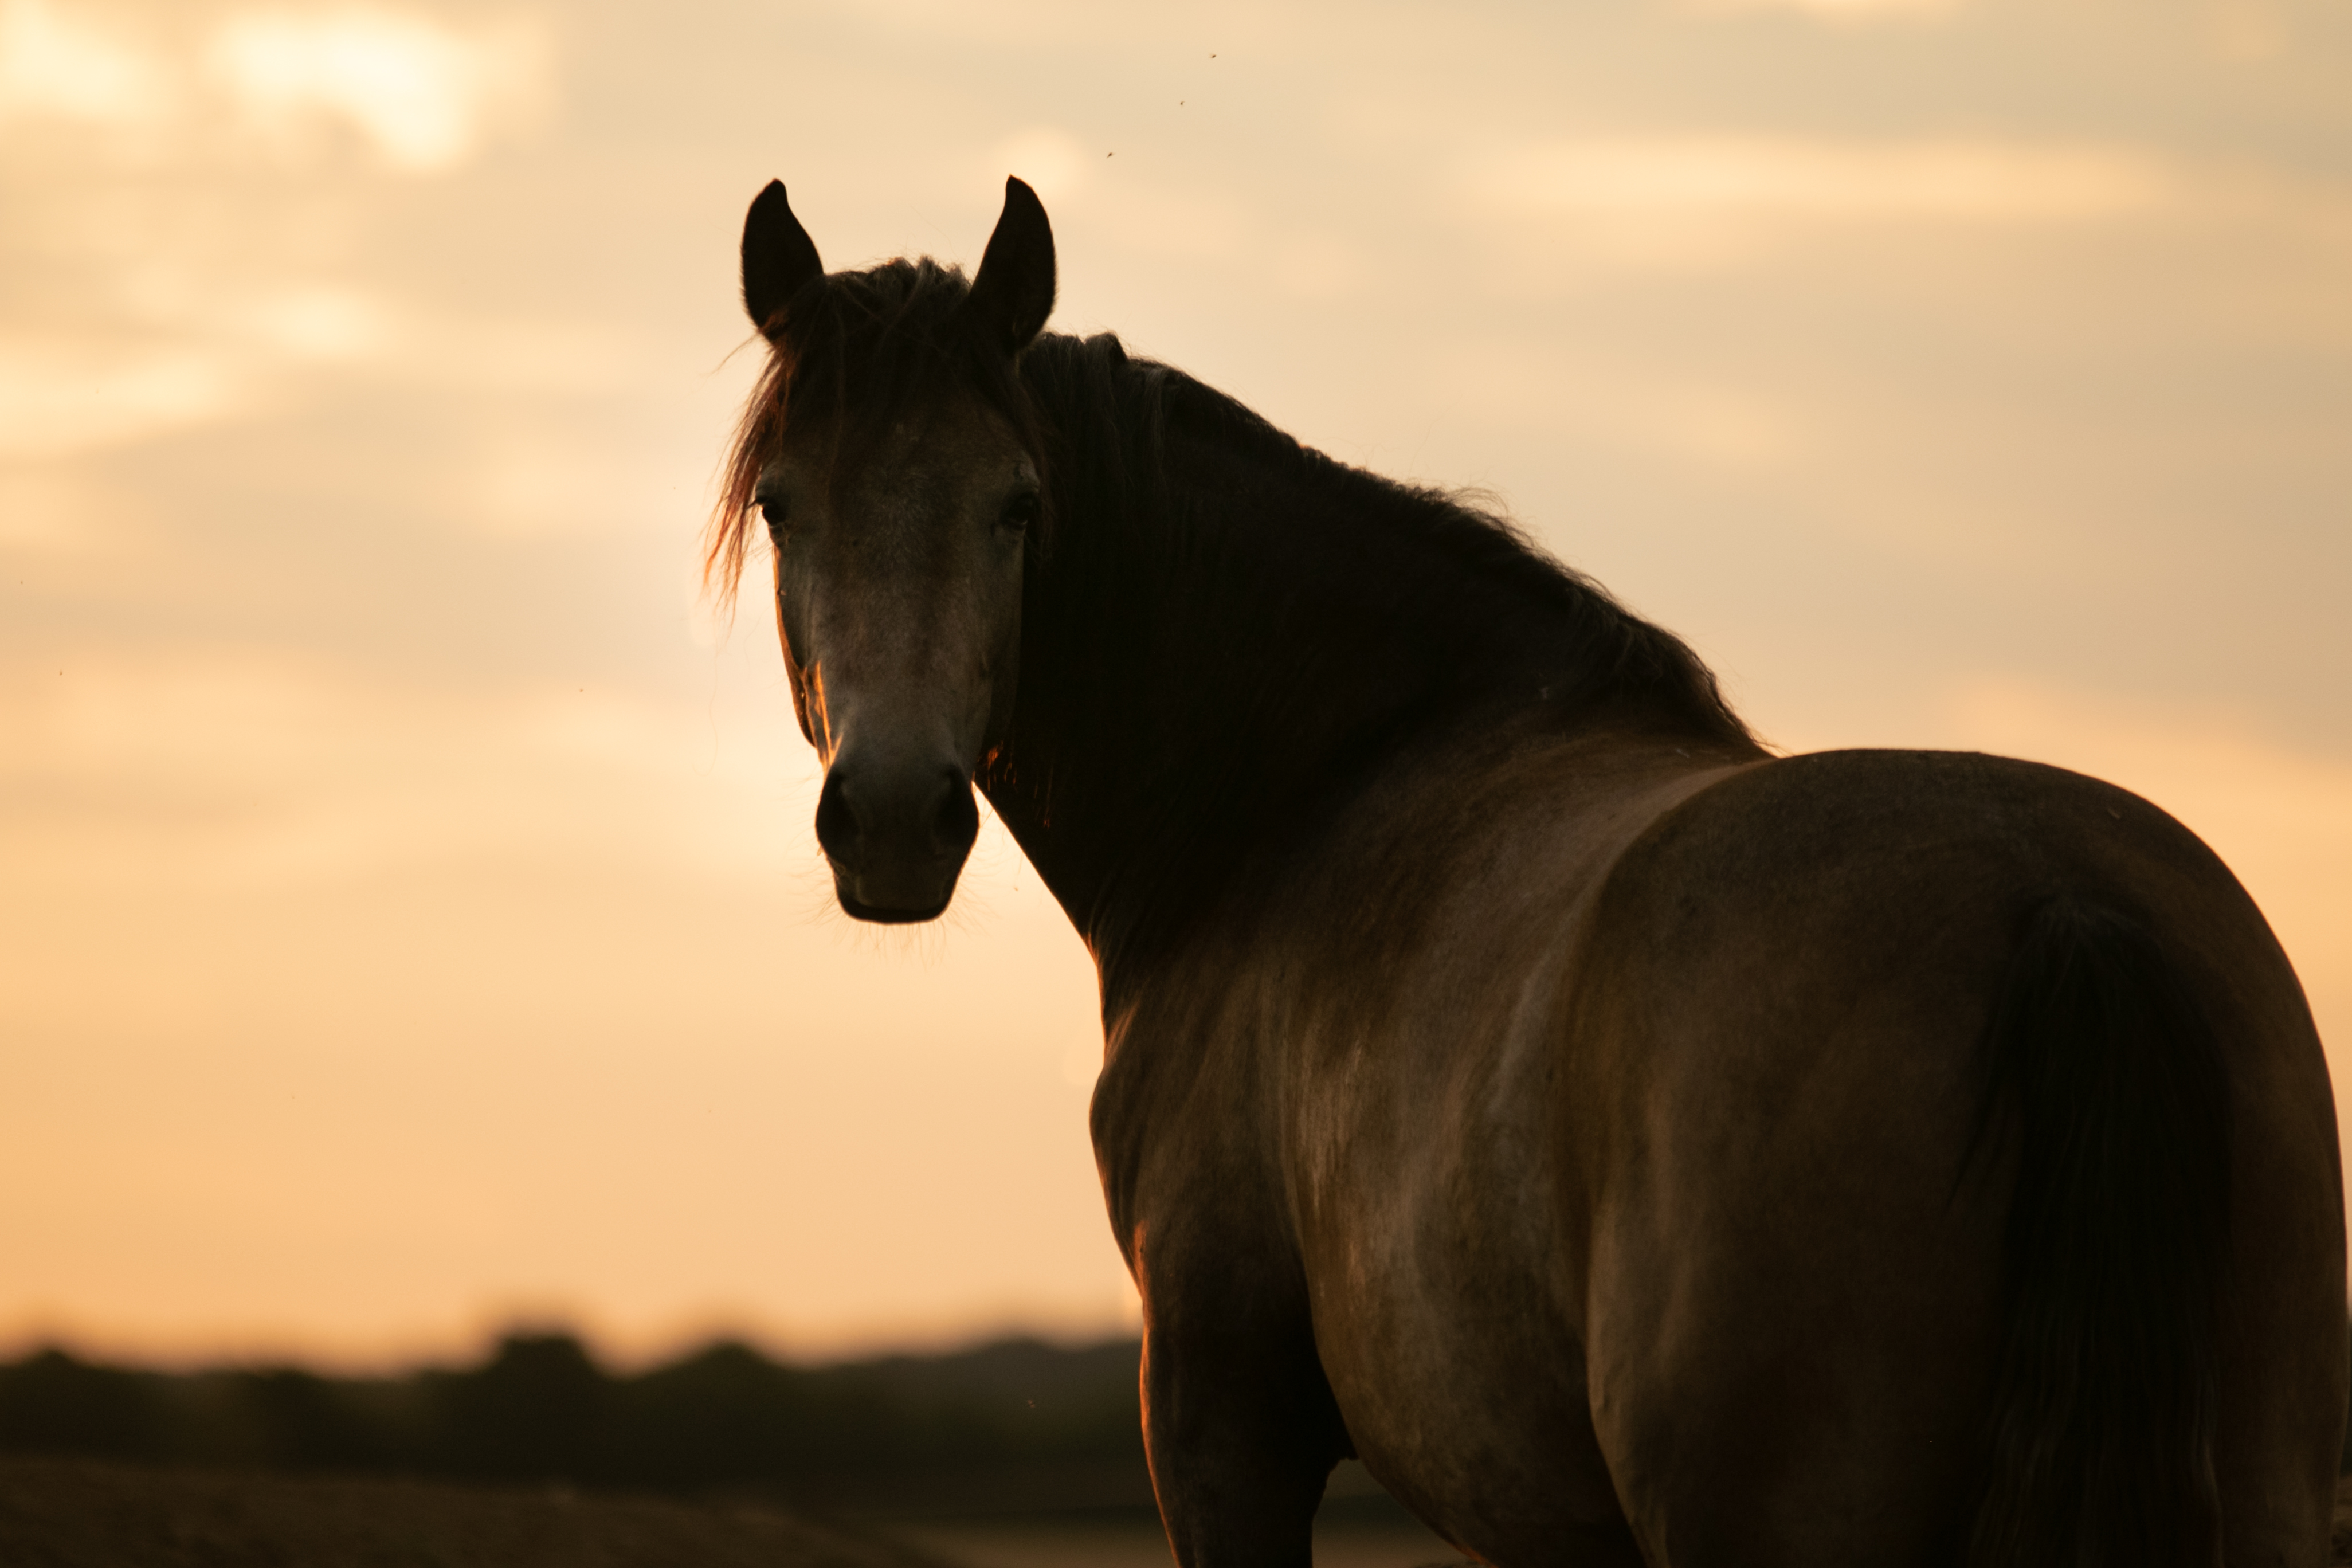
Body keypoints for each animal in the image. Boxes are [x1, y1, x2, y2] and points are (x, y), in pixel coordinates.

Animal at [705, 177, 2352, 1561]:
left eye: (1019, 507)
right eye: (785, 505)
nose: (896, 818)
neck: (1310, 793)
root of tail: (2061, 905)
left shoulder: (1220, 1426)